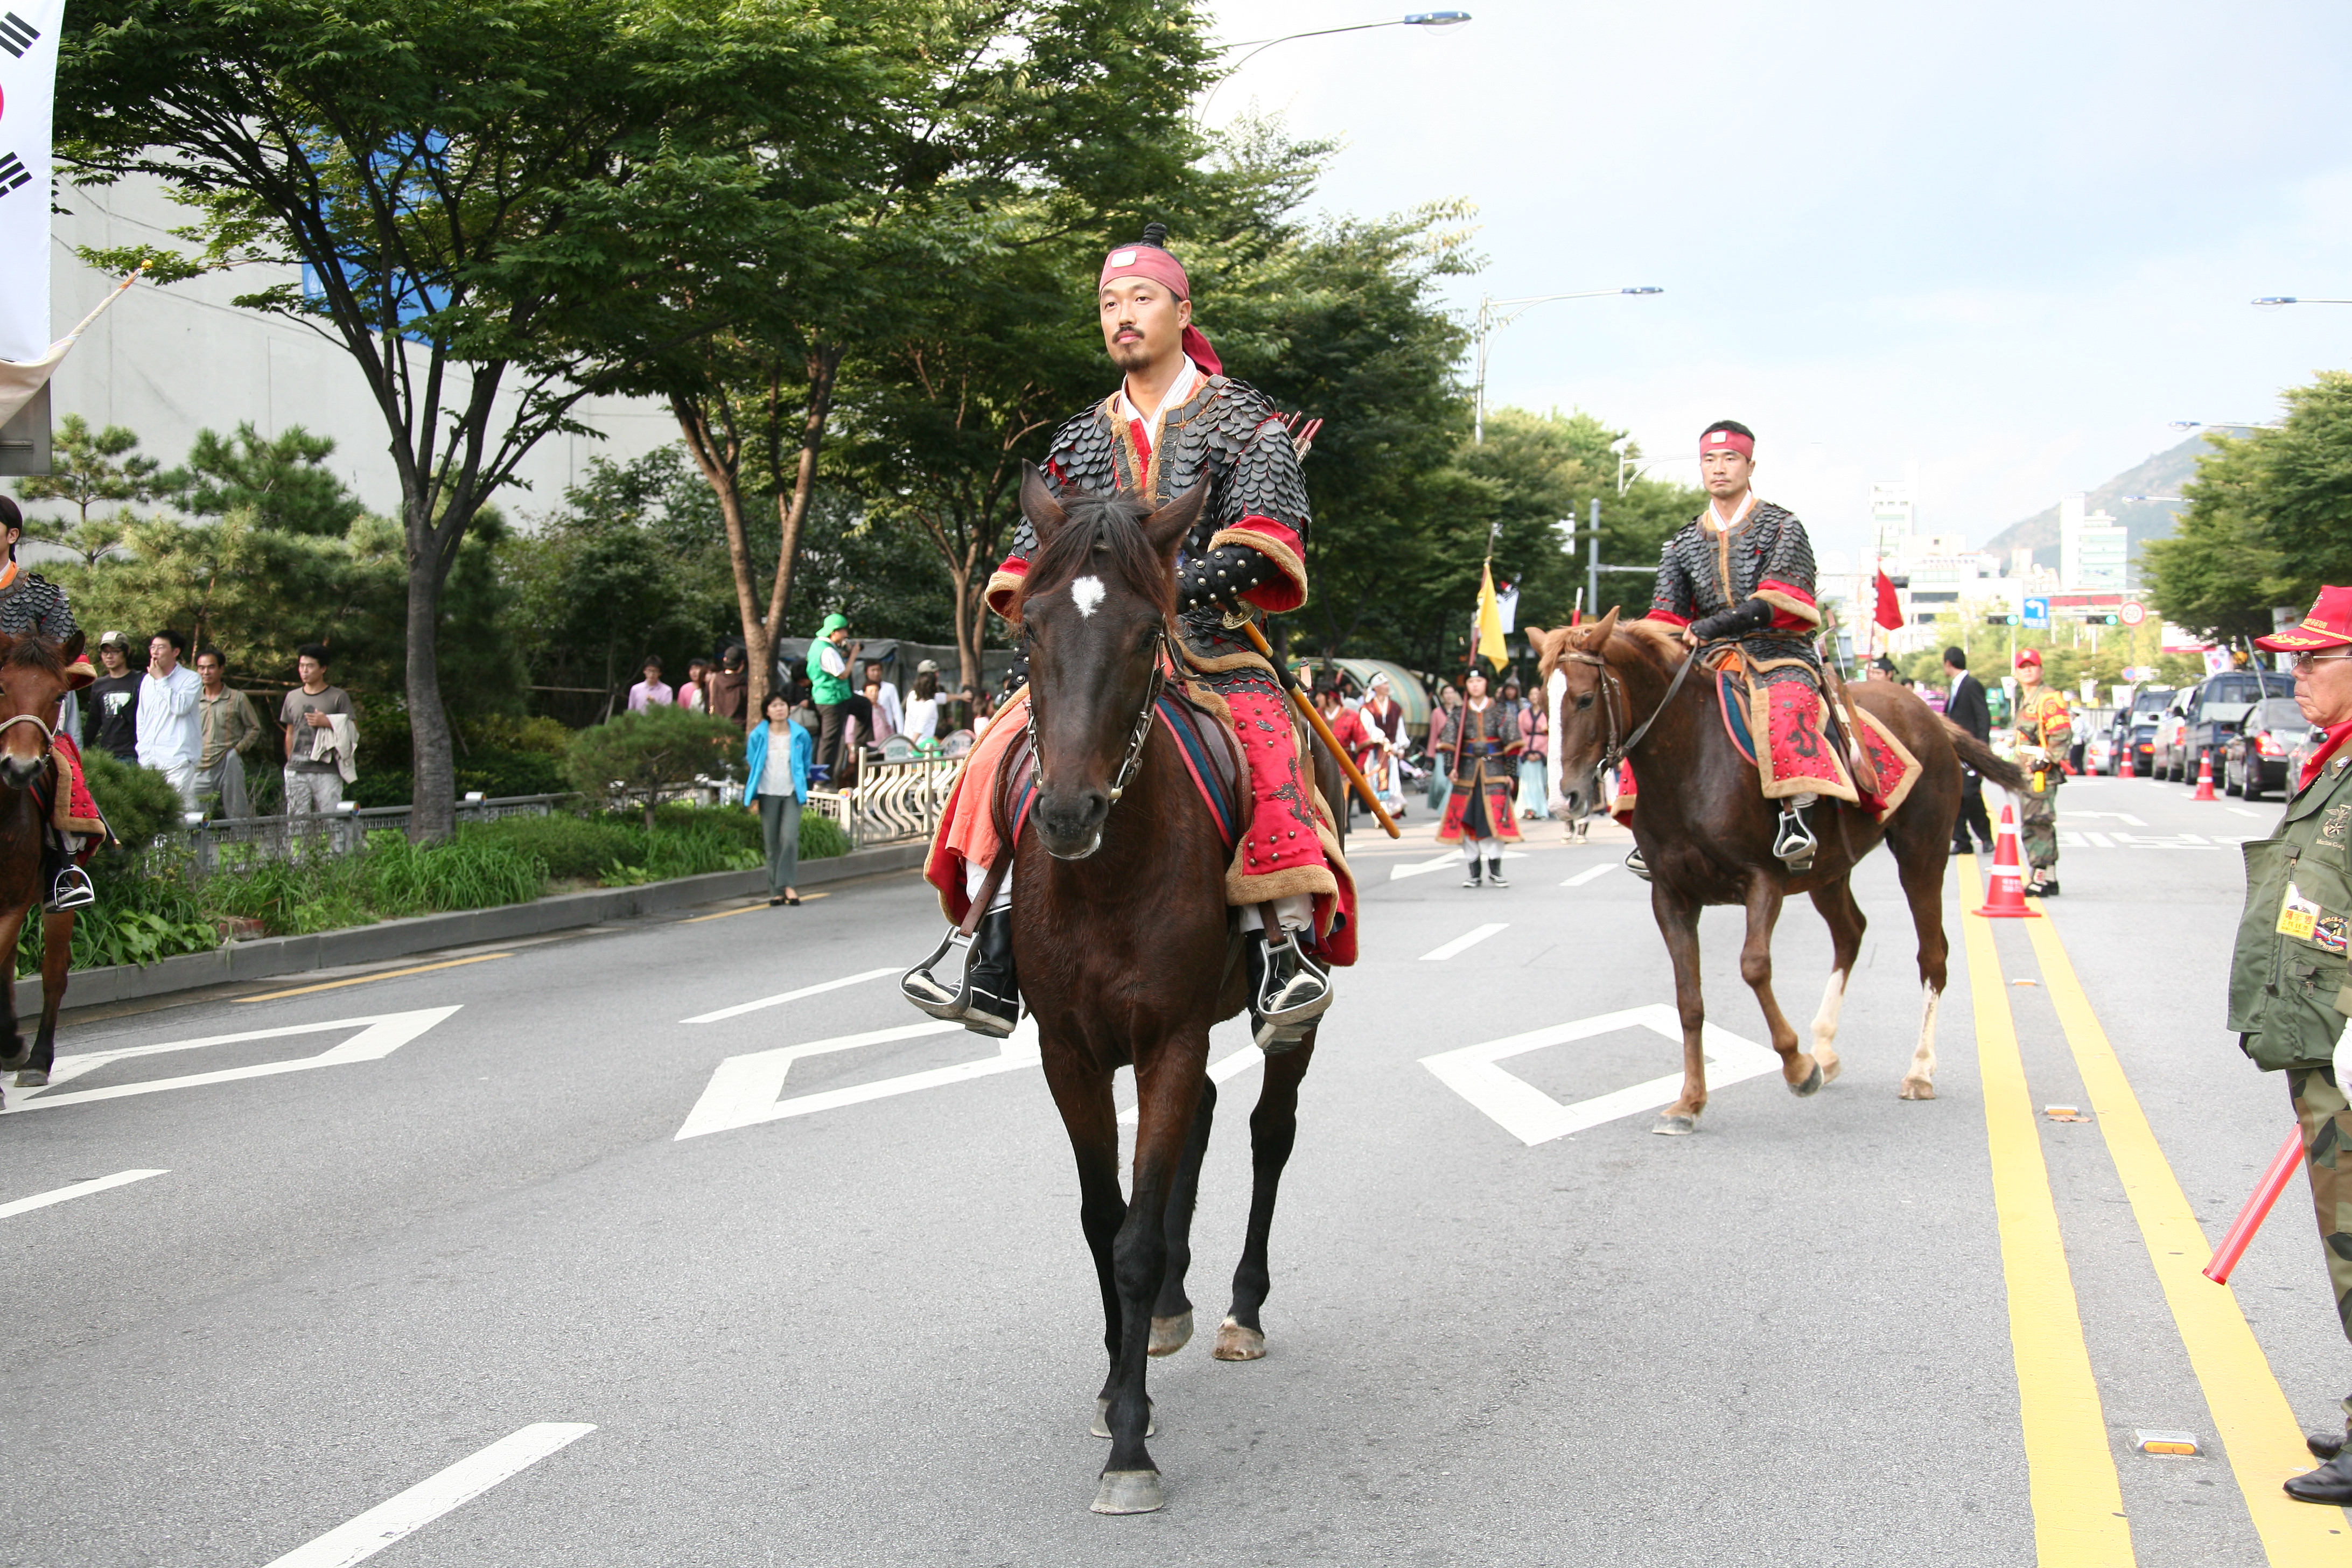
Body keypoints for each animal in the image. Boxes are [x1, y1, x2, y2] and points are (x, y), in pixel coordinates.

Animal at [1016, 472, 1345, 1514]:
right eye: (1029, 625)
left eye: (1141, 633)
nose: (1066, 811)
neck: (1106, 877)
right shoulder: (1070, 1052)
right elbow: (1104, 1220)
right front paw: (1115, 1385)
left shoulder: (1164, 1037)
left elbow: (1132, 1241)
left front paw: (1130, 1445)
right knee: (1197, 1123)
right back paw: (1167, 1313)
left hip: (1283, 1016)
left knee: (1268, 1132)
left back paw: (1241, 1308)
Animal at [1533, 606, 2032, 1133]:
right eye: (1543, 704)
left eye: (1586, 698)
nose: (1564, 800)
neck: (1688, 760)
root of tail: (1928, 714)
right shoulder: (1671, 894)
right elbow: (1688, 999)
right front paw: (1689, 1102)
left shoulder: (1762, 879)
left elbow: (1754, 967)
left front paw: (1796, 1066)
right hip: (1829, 871)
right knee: (1850, 934)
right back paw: (1826, 1047)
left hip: (1923, 850)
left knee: (1932, 954)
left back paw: (1917, 1069)